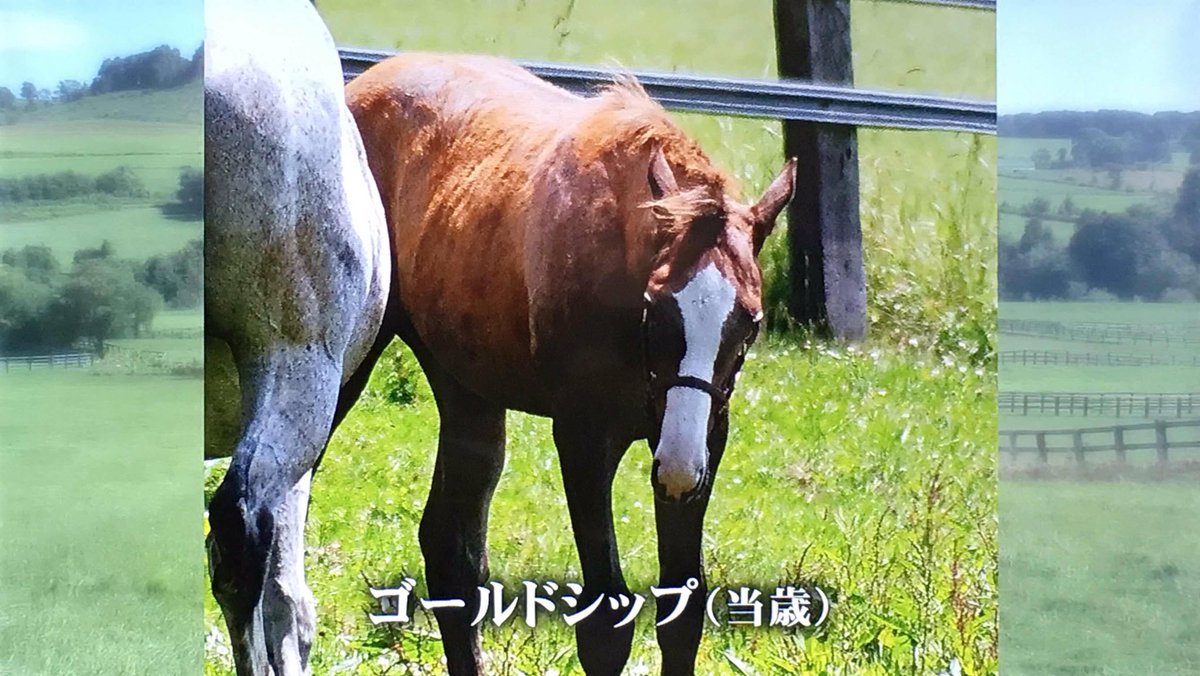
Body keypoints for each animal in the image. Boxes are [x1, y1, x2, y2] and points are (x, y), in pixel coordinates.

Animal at [346, 53, 795, 674]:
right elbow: (604, 624)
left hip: (467, 391)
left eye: (750, 322)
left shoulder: (706, 436)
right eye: (655, 307)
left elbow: (683, 611)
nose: (678, 466)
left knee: (451, 552)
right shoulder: (584, 437)